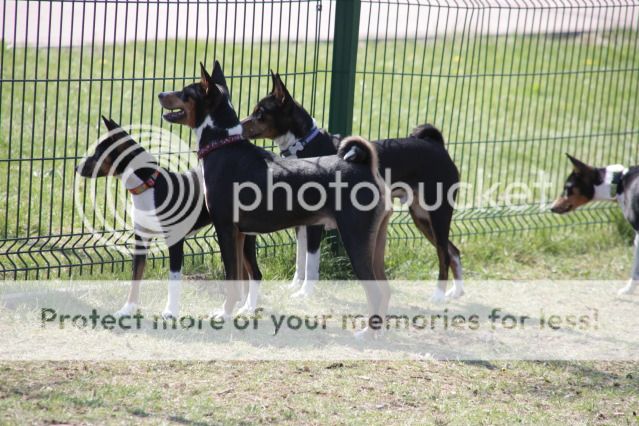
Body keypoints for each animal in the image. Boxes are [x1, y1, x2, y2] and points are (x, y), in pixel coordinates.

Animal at [76, 116, 262, 318]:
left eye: (98, 153)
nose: (77, 167)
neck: (148, 187)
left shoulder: (175, 241)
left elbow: (173, 278)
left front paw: (170, 312)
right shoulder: (141, 240)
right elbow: (135, 279)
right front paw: (127, 309)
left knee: (255, 274)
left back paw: (248, 309)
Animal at [158, 61, 392, 336]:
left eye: (186, 93)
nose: (161, 94)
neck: (223, 146)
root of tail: (367, 167)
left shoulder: (225, 230)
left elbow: (231, 278)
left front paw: (224, 314)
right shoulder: (241, 234)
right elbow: (241, 278)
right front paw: (237, 311)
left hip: (355, 239)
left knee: (375, 292)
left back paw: (366, 334)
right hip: (374, 242)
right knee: (386, 289)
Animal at [241, 72, 463, 303]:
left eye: (260, 113)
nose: (239, 124)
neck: (302, 145)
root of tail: (437, 145)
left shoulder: (314, 226)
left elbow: (311, 263)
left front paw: (305, 293)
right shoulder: (300, 223)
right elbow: (300, 260)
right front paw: (294, 286)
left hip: (437, 214)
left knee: (444, 255)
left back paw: (439, 295)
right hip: (421, 217)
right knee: (454, 251)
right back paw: (456, 291)